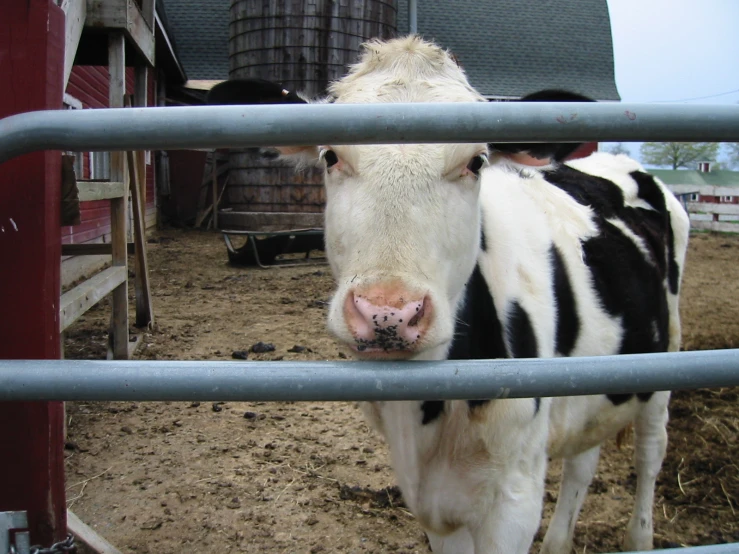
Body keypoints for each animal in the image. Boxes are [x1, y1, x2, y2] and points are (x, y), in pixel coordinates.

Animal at [210, 36, 692, 548]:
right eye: (331, 156)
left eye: (475, 161)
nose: (389, 313)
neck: (428, 424)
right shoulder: (431, 501)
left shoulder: (515, 496)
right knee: (584, 462)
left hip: (665, 359)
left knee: (650, 452)